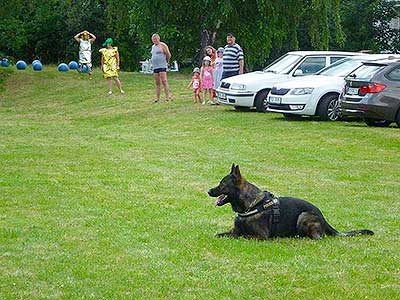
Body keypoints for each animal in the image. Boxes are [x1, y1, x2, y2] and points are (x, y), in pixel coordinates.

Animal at [208, 163, 374, 240]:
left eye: (222, 185)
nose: (208, 191)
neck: (251, 206)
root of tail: (324, 219)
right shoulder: (234, 231)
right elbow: (220, 234)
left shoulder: (260, 236)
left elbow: (243, 235)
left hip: (304, 216)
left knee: (318, 237)